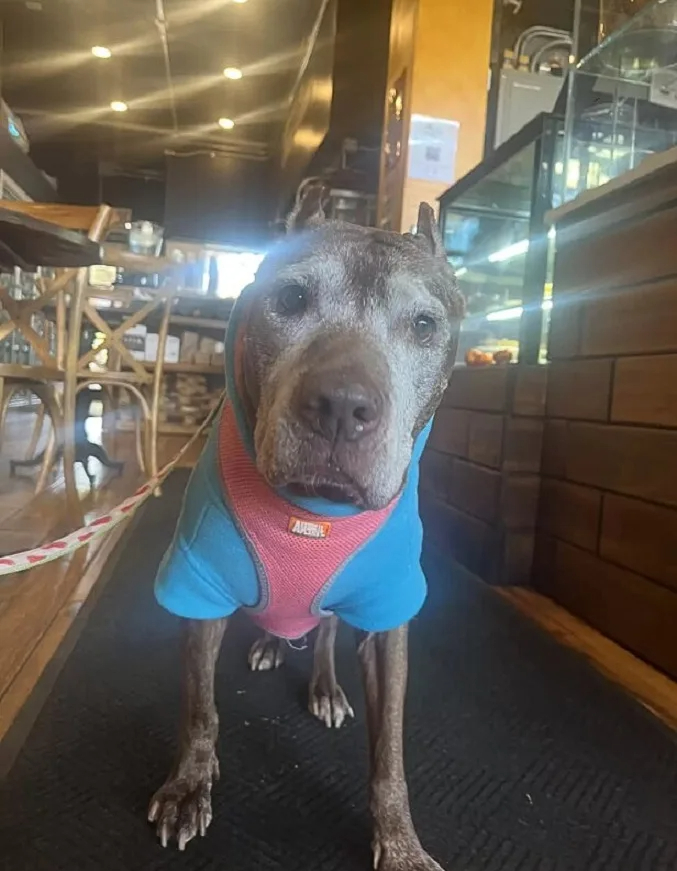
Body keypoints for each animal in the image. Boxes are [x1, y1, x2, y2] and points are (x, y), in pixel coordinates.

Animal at [148, 201, 464, 868]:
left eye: (425, 324)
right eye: (291, 298)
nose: (342, 406)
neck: (312, 513)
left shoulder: (389, 616)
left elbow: (389, 751)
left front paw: (400, 841)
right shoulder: (199, 591)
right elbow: (200, 709)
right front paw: (190, 784)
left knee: (324, 634)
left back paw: (322, 684)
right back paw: (272, 644)